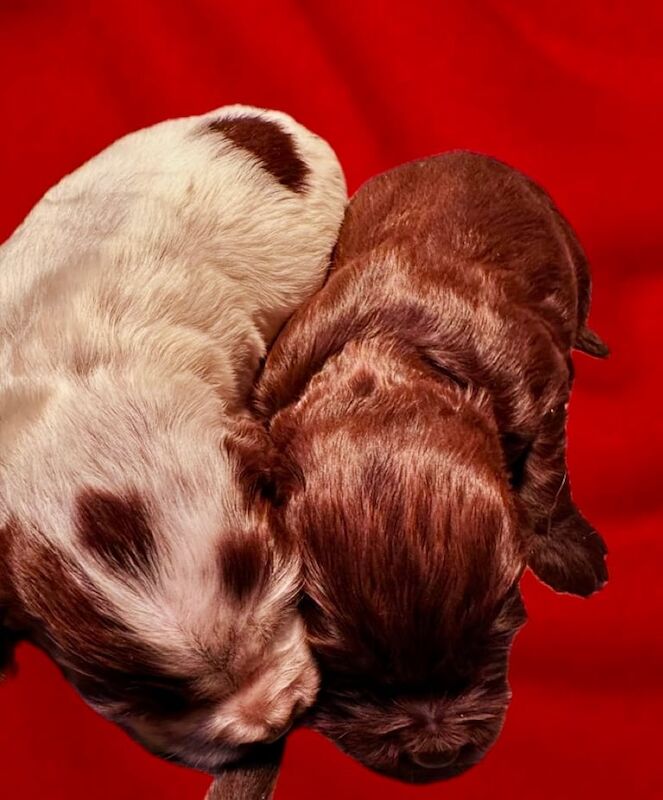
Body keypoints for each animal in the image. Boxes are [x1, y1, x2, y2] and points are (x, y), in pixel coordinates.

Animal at [255, 153, 612, 784]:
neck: (389, 358)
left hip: (565, 237)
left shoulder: (540, 385)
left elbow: (546, 479)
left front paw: (568, 554)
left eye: (492, 635)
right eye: (352, 669)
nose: (434, 754)